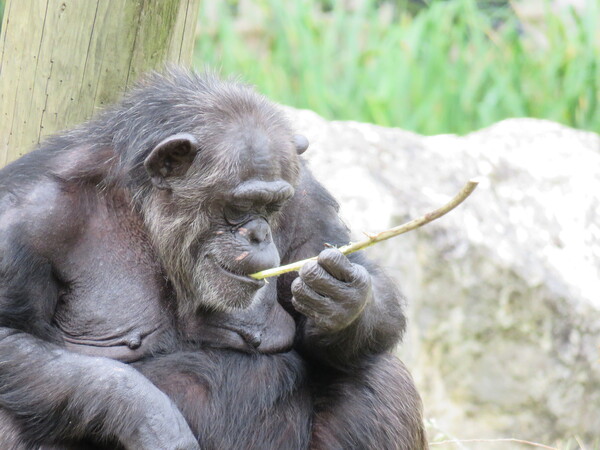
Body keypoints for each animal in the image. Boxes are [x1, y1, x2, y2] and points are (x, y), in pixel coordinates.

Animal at [0, 68, 426, 448]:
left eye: (272, 205)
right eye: (240, 206)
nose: (259, 233)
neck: (142, 210)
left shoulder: (305, 192)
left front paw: (344, 298)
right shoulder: (22, 222)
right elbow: (12, 335)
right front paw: (152, 419)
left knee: (378, 374)